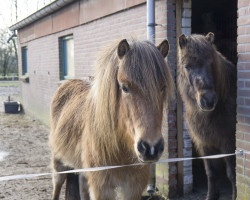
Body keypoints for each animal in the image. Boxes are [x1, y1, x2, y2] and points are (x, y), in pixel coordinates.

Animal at [48, 38, 174, 199]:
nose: (151, 148)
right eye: (124, 87)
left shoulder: (133, 187)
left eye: (163, 87)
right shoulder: (102, 188)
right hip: (58, 161)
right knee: (57, 184)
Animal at [178, 33, 236, 200]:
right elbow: (211, 172)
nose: (208, 100)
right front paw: (211, 196)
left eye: (211, 63)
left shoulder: (229, 143)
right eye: (187, 66)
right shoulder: (205, 143)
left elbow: (232, 173)